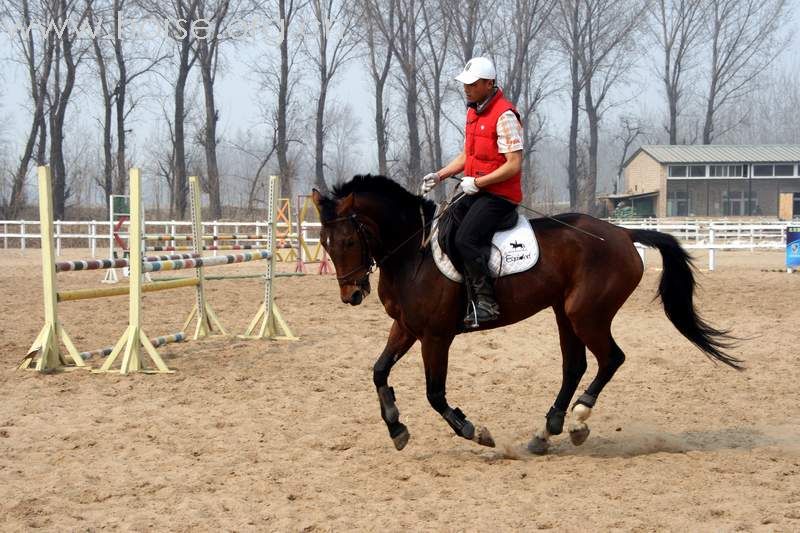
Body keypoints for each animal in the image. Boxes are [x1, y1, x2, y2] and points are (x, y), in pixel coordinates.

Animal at [310, 175, 736, 454]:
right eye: (325, 243)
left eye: (348, 240)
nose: (352, 294)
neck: (413, 252)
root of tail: (621, 234)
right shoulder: (406, 327)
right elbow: (379, 371)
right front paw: (396, 427)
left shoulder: (435, 335)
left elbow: (434, 393)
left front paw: (474, 430)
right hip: (565, 313)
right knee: (575, 366)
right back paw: (548, 431)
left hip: (586, 314)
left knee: (611, 358)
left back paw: (579, 418)